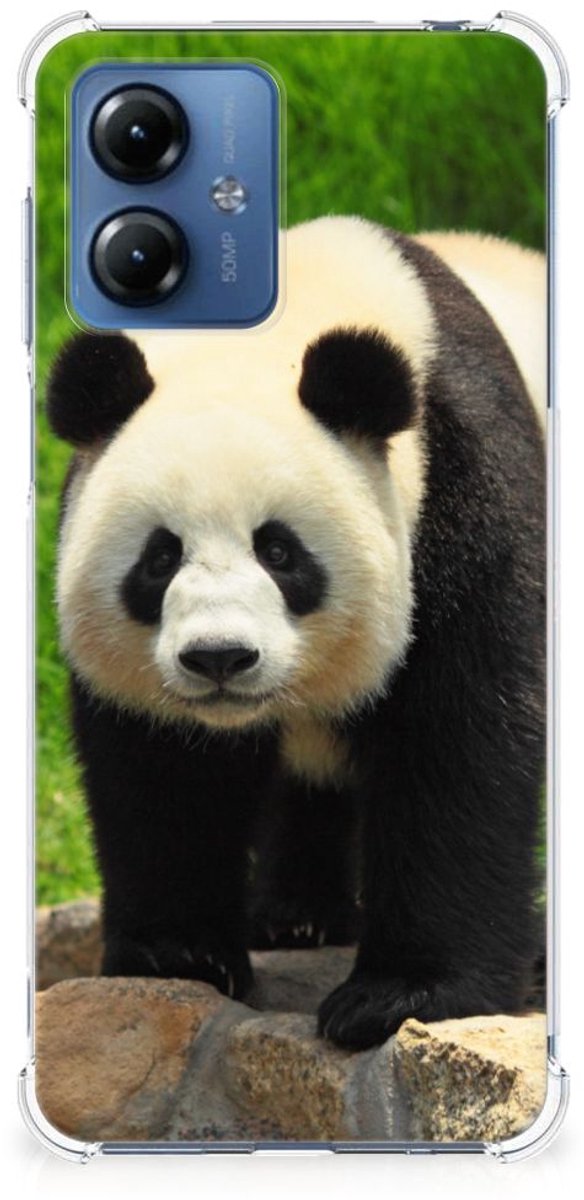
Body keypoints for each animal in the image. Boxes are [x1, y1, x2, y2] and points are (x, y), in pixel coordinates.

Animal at [46, 216, 546, 1050]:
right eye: (159, 557)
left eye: (279, 552)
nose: (219, 657)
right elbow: (162, 769)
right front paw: (178, 955)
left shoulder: (467, 490)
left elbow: (462, 739)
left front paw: (400, 995)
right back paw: (297, 917)